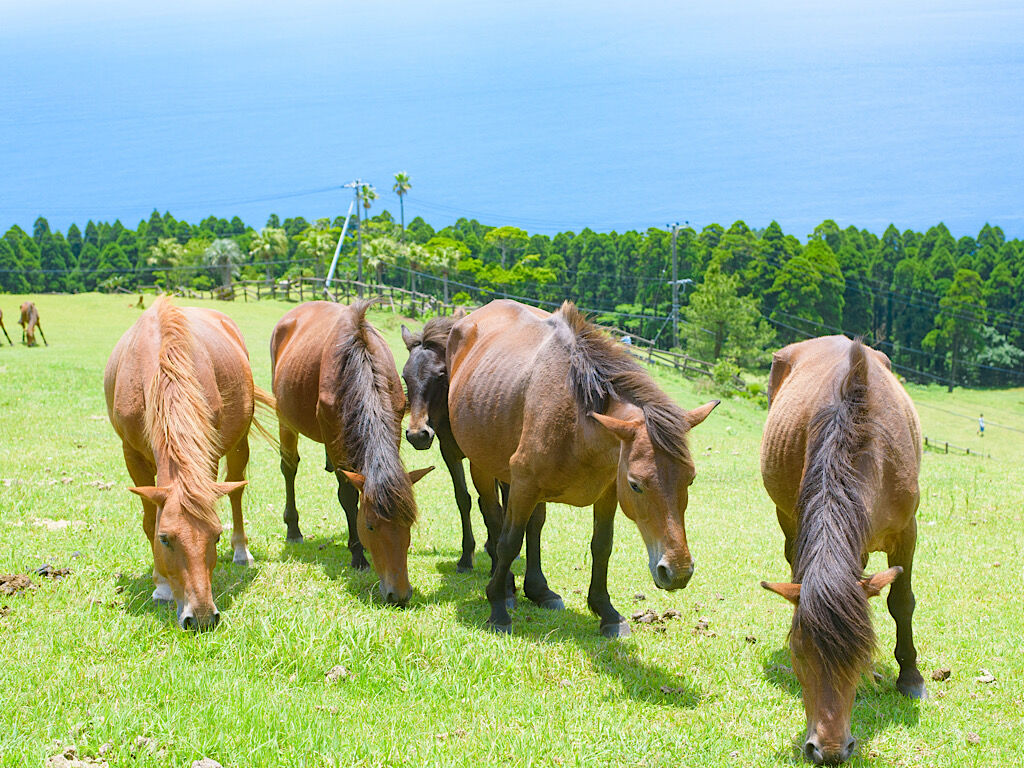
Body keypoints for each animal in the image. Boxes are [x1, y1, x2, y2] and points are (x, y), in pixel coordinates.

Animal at [105, 296, 270, 626]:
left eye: (216, 537)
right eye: (165, 539)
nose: (203, 618)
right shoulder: (131, 455)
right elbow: (148, 520)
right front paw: (162, 587)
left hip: (238, 443)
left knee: (236, 491)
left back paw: (241, 552)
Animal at [268, 301, 432, 606]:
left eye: (409, 523)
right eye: (370, 526)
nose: (399, 595)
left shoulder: (393, 424)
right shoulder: (334, 438)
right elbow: (347, 497)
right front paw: (357, 554)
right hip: (284, 417)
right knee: (289, 467)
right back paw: (293, 529)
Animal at [448, 301, 720, 638]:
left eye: (691, 480)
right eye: (636, 484)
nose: (678, 571)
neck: (577, 421)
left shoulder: (607, 492)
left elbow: (601, 546)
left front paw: (606, 611)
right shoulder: (525, 484)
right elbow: (509, 542)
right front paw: (497, 607)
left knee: (533, 526)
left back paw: (539, 590)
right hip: (482, 466)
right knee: (492, 517)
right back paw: (508, 588)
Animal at [757, 339, 925, 765]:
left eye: (862, 654)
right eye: (799, 653)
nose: (830, 750)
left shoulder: (907, 532)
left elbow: (902, 602)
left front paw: (910, 677)